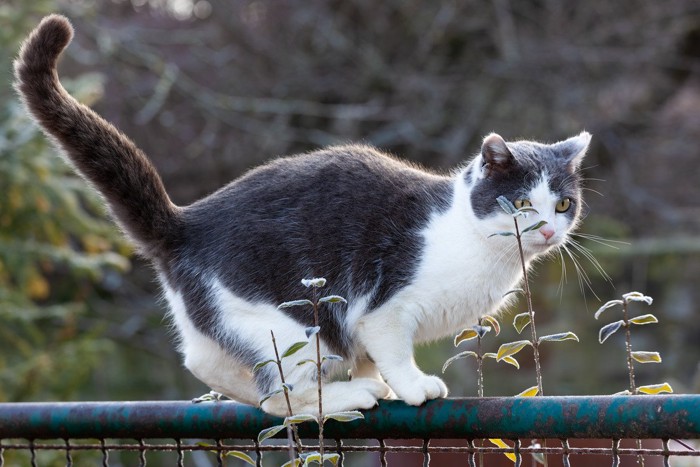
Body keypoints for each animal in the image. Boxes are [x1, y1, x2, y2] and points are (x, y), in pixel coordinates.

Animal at [13, 15, 588, 416]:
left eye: (563, 204)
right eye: (521, 204)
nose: (546, 229)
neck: (472, 241)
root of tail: (186, 222)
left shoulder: (361, 324)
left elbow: (370, 354)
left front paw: (378, 380)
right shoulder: (383, 308)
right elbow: (393, 350)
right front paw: (410, 386)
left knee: (212, 363)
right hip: (293, 324)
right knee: (272, 395)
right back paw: (345, 396)